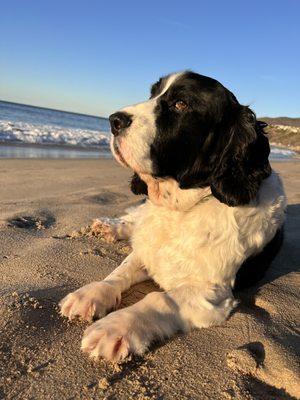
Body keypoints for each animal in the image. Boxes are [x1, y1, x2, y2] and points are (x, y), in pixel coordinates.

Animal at [58, 70, 286, 360]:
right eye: (153, 94)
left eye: (180, 104)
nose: (114, 121)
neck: (183, 209)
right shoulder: (147, 249)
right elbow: (120, 271)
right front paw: (90, 294)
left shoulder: (211, 291)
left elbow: (158, 298)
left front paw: (113, 328)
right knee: (133, 219)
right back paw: (109, 227)